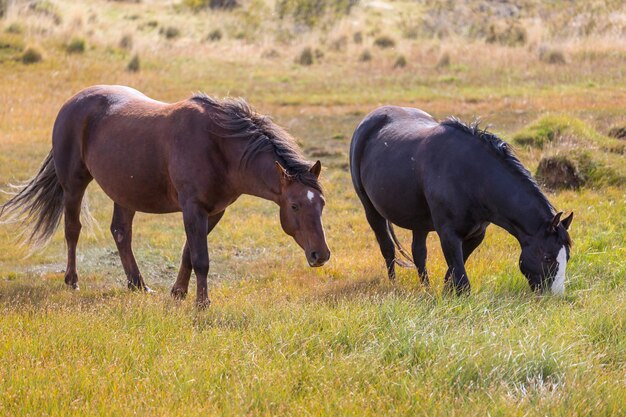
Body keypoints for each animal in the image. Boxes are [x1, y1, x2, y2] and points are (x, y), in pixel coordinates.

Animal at [0, 84, 330, 306]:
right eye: (295, 205)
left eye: (322, 205)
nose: (321, 255)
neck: (219, 146)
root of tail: (73, 102)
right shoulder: (193, 207)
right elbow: (201, 258)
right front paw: (201, 303)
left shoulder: (213, 211)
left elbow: (188, 253)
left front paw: (179, 293)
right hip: (74, 184)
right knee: (72, 230)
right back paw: (72, 281)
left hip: (125, 192)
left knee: (121, 233)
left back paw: (138, 284)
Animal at [348, 107, 572, 294]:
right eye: (548, 257)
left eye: (567, 256)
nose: (554, 295)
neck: (471, 177)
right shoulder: (448, 234)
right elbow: (462, 280)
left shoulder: (476, 234)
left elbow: (453, 272)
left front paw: (446, 295)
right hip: (371, 211)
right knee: (387, 248)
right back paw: (393, 285)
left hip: (419, 223)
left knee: (419, 253)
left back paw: (426, 290)